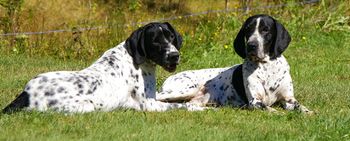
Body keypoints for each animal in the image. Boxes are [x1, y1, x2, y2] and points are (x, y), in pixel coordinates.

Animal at [2, 22, 205, 113]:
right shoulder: (149, 104)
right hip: (87, 106)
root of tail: (26, 94)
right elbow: (181, 105)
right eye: (155, 41)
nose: (174, 55)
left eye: (171, 38)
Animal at [156, 14, 312, 113]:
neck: (266, 66)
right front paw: (277, 113)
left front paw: (308, 112)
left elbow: (299, 106)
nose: (251, 45)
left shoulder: (288, 99)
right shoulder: (254, 101)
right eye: (248, 30)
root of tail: (171, 76)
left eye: (265, 30)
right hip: (186, 89)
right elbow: (268, 108)